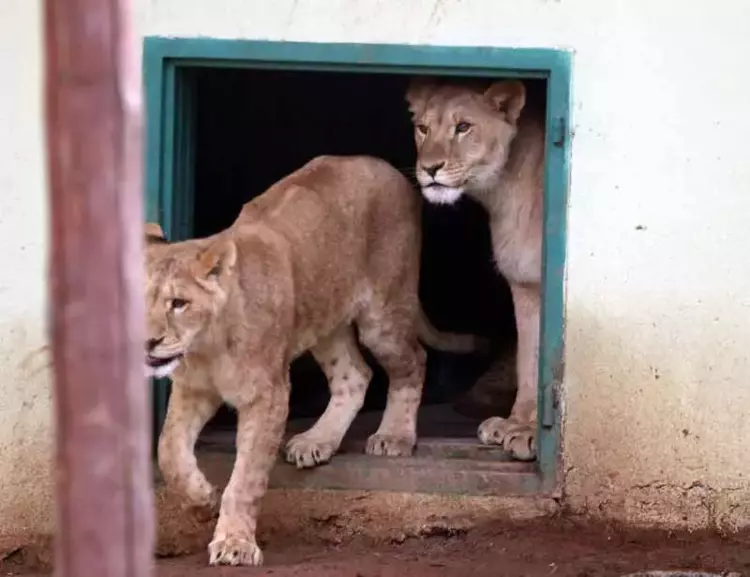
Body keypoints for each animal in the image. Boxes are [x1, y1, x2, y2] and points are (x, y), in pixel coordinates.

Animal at [145, 154, 488, 568]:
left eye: (178, 303)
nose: (148, 342)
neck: (206, 349)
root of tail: (386, 166)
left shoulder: (268, 396)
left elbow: (246, 477)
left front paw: (235, 542)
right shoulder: (191, 391)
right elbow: (168, 451)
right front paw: (200, 500)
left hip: (383, 315)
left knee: (413, 362)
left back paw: (393, 435)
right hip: (326, 322)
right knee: (355, 375)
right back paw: (317, 441)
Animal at [406, 79, 548, 462]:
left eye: (463, 127)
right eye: (422, 128)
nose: (430, 169)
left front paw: (529, 433)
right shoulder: (524, 284)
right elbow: (528, 361)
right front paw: (515, 425)